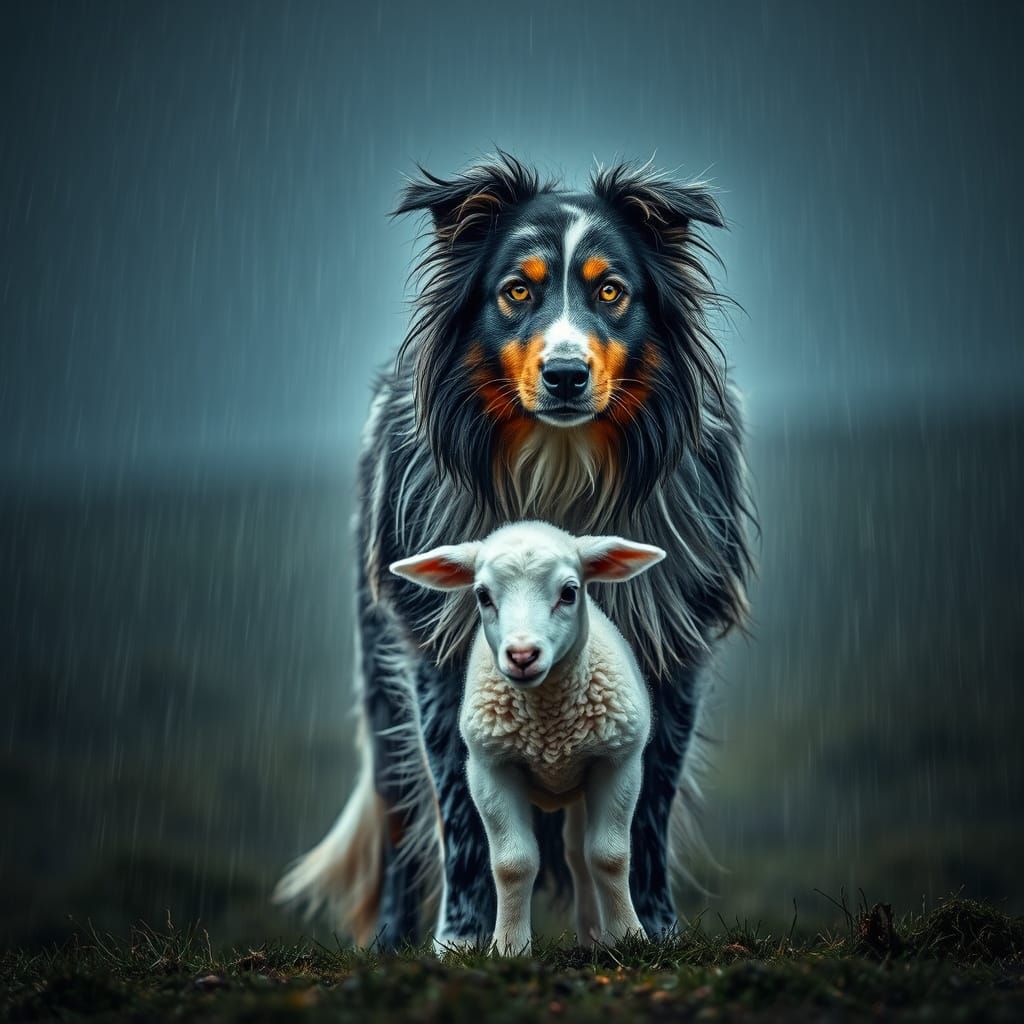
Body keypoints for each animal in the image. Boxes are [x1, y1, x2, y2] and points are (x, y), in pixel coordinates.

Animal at [390, 520, 665, 954]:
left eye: (569, 592)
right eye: (483, 595)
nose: (522, 656)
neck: (548, 724)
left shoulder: (618, 762)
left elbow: (609, 856)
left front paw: (628, 937)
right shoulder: (491, 769)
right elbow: (513, 863)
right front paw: (508, 947)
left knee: (579, 855)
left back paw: (596, 938)